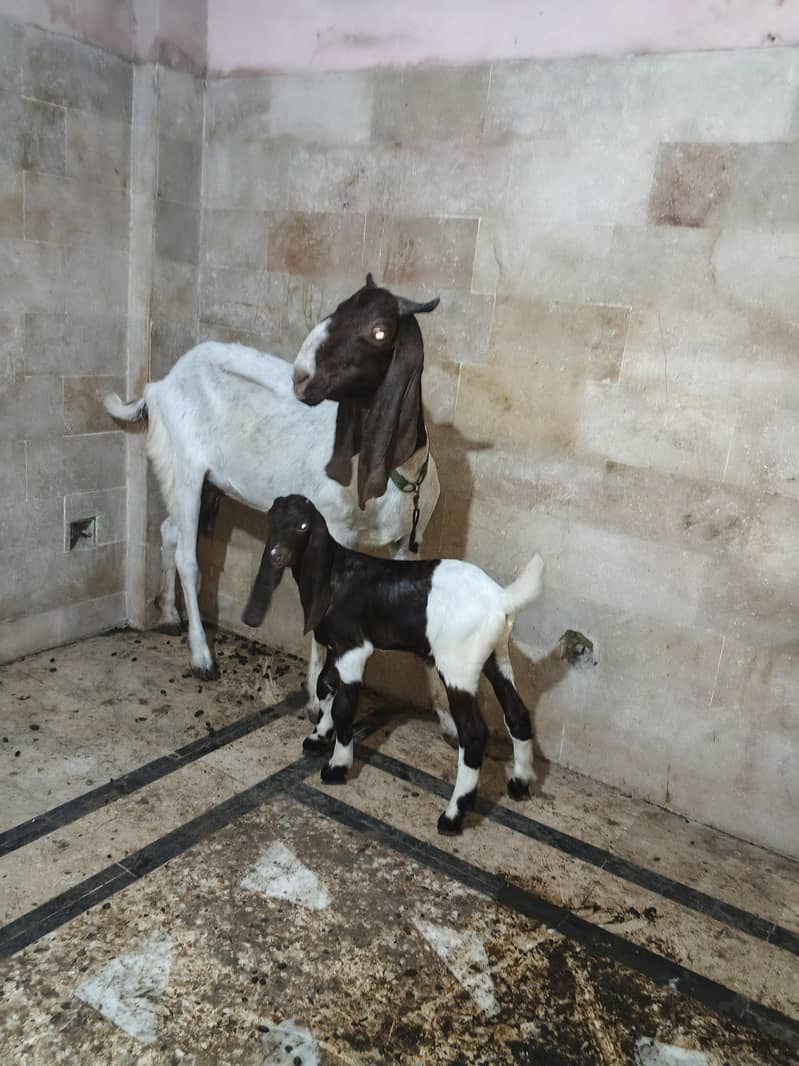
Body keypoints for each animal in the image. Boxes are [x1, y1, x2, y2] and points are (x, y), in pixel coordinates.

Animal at [104, 276, 441, 713]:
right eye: (337, 310)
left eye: (379, 330)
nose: (301, 377)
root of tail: (157, 387)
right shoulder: (334, 528)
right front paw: (317, 698)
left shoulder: (408, 543)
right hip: (185, 467)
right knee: (187, 557)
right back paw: (202, 657)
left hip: (202, 480)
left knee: (168, 531)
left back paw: (168, 616)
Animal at [242, 495, 545, 835]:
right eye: (272, 520)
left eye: (303, 526)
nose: (277, 555)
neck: (336, 574)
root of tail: (501, 599)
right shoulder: (337, 646)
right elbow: (325, 686)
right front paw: (319, 736)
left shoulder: (355, 649)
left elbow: (344, 706)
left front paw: (337, 766)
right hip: (496, 656)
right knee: (517, 714)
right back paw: (520, 783)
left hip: (458, 666)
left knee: (473, 734)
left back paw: (453, 816)